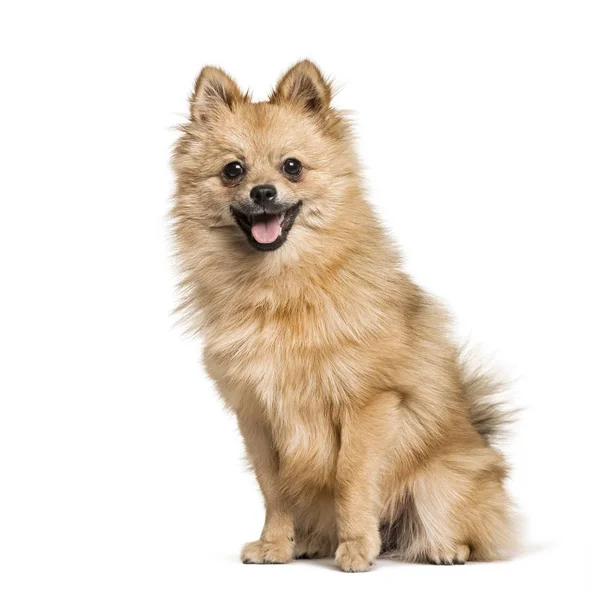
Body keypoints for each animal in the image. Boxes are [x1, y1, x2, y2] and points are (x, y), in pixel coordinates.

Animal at [171, 59, 516, 572]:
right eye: (233, 170)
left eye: (292, 166)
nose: (263, 191)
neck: (282, 288)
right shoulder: (257, 416)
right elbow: (273, 489)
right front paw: (276, 544)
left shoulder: (365, 404)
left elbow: (352, 479)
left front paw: (355, 546)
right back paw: (311, 541)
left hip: (441, 481)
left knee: (458, 526)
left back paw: (443, 548)